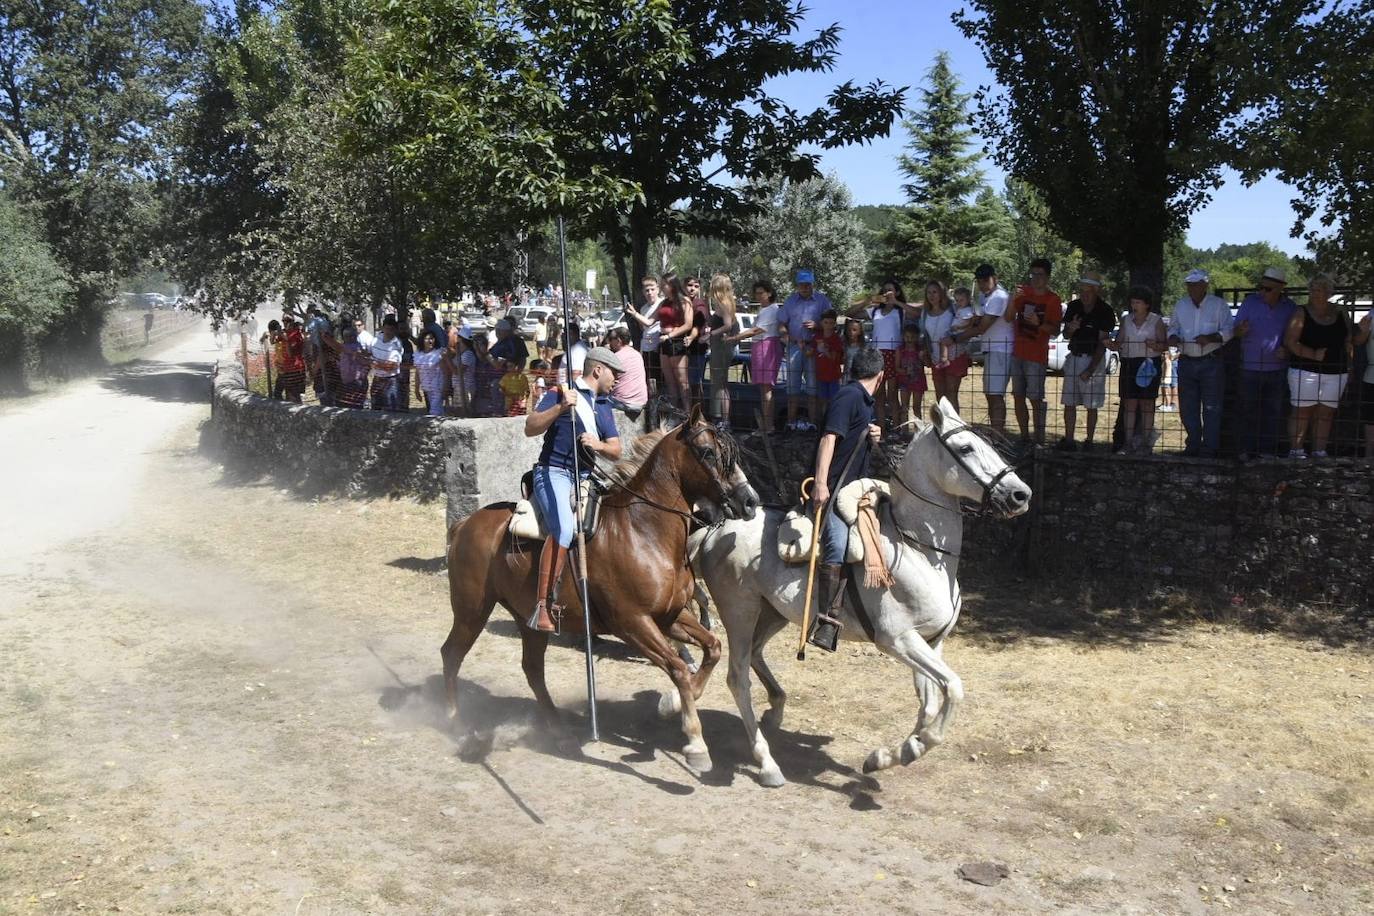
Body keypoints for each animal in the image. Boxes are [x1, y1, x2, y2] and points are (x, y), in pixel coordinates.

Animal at [442, 411, 758, 769]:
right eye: (707, 452)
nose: (750, 501)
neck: (643, 530)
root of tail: (464, 524)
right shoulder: (633, 624)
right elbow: (678, 668)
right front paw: (695, 742)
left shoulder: (670, 616)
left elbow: (713, 648)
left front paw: (676, 703)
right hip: (471, 611)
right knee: (451, 654)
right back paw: (456, 723)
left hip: (528, 620)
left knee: (532, 669)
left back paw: (559, 732)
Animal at [692, 398, 1027, 791]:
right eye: (965, 449)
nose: (1020, 494)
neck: (918, 550)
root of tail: (715, 529)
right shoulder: (898, 640)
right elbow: (953, 688)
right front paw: (914, 747)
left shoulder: (932, 642)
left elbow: (930, 702)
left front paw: (888, 756)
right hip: (739, 613)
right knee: (738, 677)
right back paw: (767, 763)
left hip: (773, 613)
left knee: (757, 655)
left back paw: (775, 708)